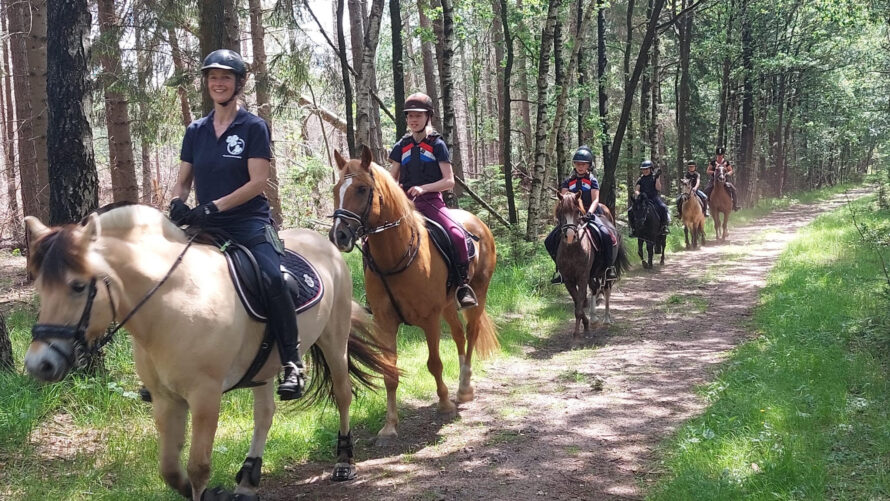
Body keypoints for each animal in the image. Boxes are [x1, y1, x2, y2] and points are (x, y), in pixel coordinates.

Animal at [22, 204, 396, 500]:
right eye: (40, 285)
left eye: (77, 286)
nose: (39, 364)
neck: (169, 303)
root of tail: (325, 244)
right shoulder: (165, 399)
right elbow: (170, 469)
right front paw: (212, 491)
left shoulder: (205, 396)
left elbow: (198, 466)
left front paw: (208, 491)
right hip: (264, 367)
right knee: (265, 414)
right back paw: (248, 480)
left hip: (334, 340)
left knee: (343, 394)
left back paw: (344, 462)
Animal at [328, 146, 500, 446]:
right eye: (337, 189)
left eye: (362, 189)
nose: (339, 235)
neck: (395, 256)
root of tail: (479, 223)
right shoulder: (385, 322)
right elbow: (389, 373)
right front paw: (389, 426)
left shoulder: (429, 319)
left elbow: (434, 363)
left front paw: (444, 404)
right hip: (448, 305)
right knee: (459, 336)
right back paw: (461, 387)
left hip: (478, 292)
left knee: (472, 332)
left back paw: (465, 388)